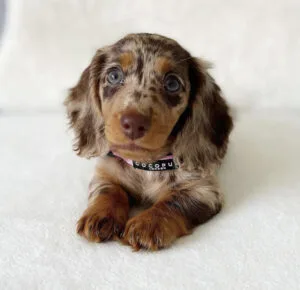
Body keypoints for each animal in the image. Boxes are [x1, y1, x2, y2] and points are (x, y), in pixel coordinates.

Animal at [65, 33, 234, 251]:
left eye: (172, 83)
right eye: (114, 76)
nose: (133, 123)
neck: (146, 165)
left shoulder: (204, 190)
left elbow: (173, 202)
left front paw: (147, 223)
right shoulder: (105, 173)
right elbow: (109, 191)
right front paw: (99, 215)